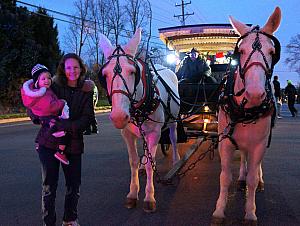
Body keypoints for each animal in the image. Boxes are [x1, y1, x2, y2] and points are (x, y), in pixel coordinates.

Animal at [99, 27, 180, 212]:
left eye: (133, 72)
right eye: (104, 74)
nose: (118, 116)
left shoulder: (155, 132)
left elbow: (151, 162)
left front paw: (149, 197)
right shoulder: (126, 134)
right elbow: (133, 161)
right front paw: (132, 193)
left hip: (172, 121)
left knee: (173, 138)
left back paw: (176, 160)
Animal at [212, 6, 280, 224]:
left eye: (272, 52)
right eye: (240, 51)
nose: (255, 94)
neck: (245, 109)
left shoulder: (259, 144)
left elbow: (252, 178)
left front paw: (250, 212)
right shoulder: (225, 141)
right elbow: (225, 177)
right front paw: (219, 210)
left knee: (253, 167)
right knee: (243, 156)